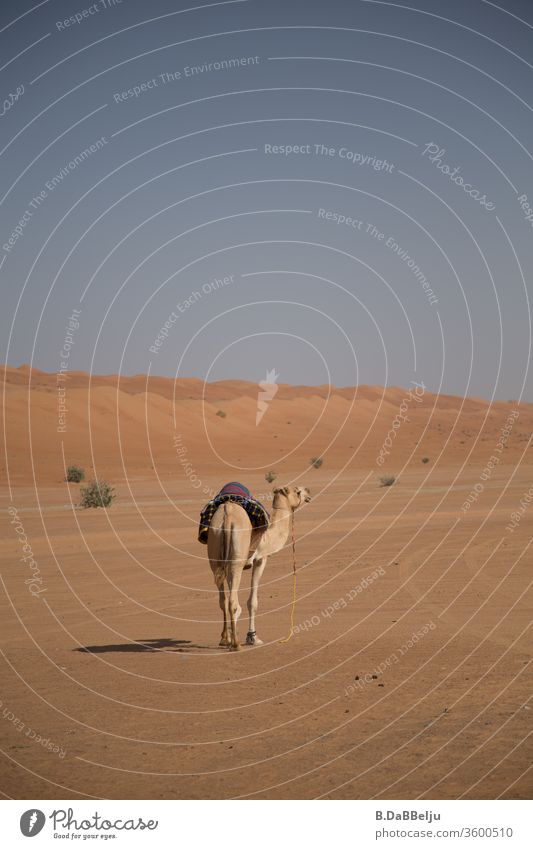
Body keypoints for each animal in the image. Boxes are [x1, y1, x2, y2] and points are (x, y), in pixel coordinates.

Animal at [206, 484, 310, 648]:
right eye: (297, 491)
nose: (308, 491)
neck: (268, 536)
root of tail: (227, 514)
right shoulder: (260, 559)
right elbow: (252, 602)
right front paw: (253, 637)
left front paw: (231, 636)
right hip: (237, 557)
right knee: (232, 601)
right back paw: (236, 644)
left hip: (215, 549)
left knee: (223, 600)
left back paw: (225, 639)